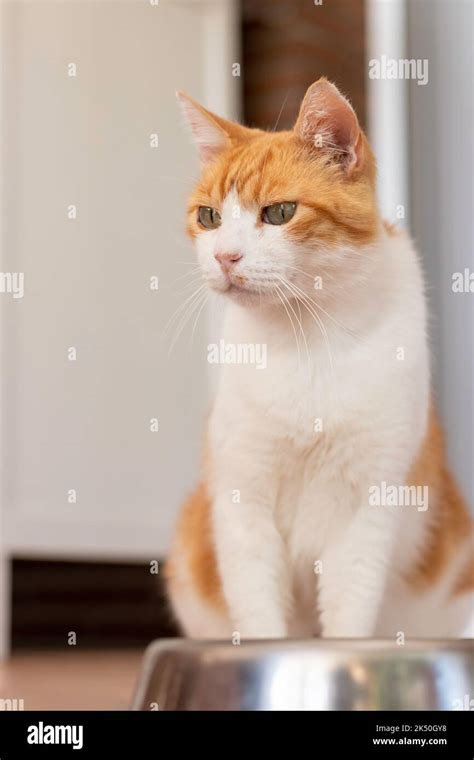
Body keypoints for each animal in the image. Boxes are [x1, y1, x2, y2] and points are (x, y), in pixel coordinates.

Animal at [165, 77, 472, 640]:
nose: (224, 257)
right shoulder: (244, 502)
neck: (303, 338)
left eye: (280, 213)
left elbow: (349, 613)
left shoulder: (364, 509)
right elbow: (260, 615)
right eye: (209, 217)